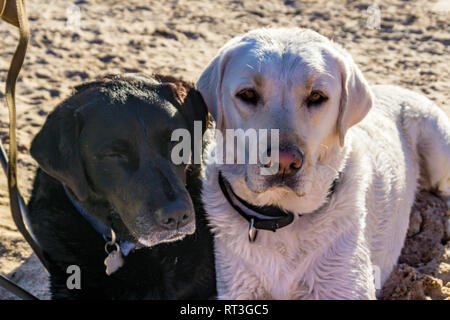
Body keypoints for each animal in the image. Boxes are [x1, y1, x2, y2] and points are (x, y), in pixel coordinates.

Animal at [197, 28, 450, 300]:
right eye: (247, 95)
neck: (282, 218)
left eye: (317, 96)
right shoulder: (239, 288)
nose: (284, 161)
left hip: (438, 153)